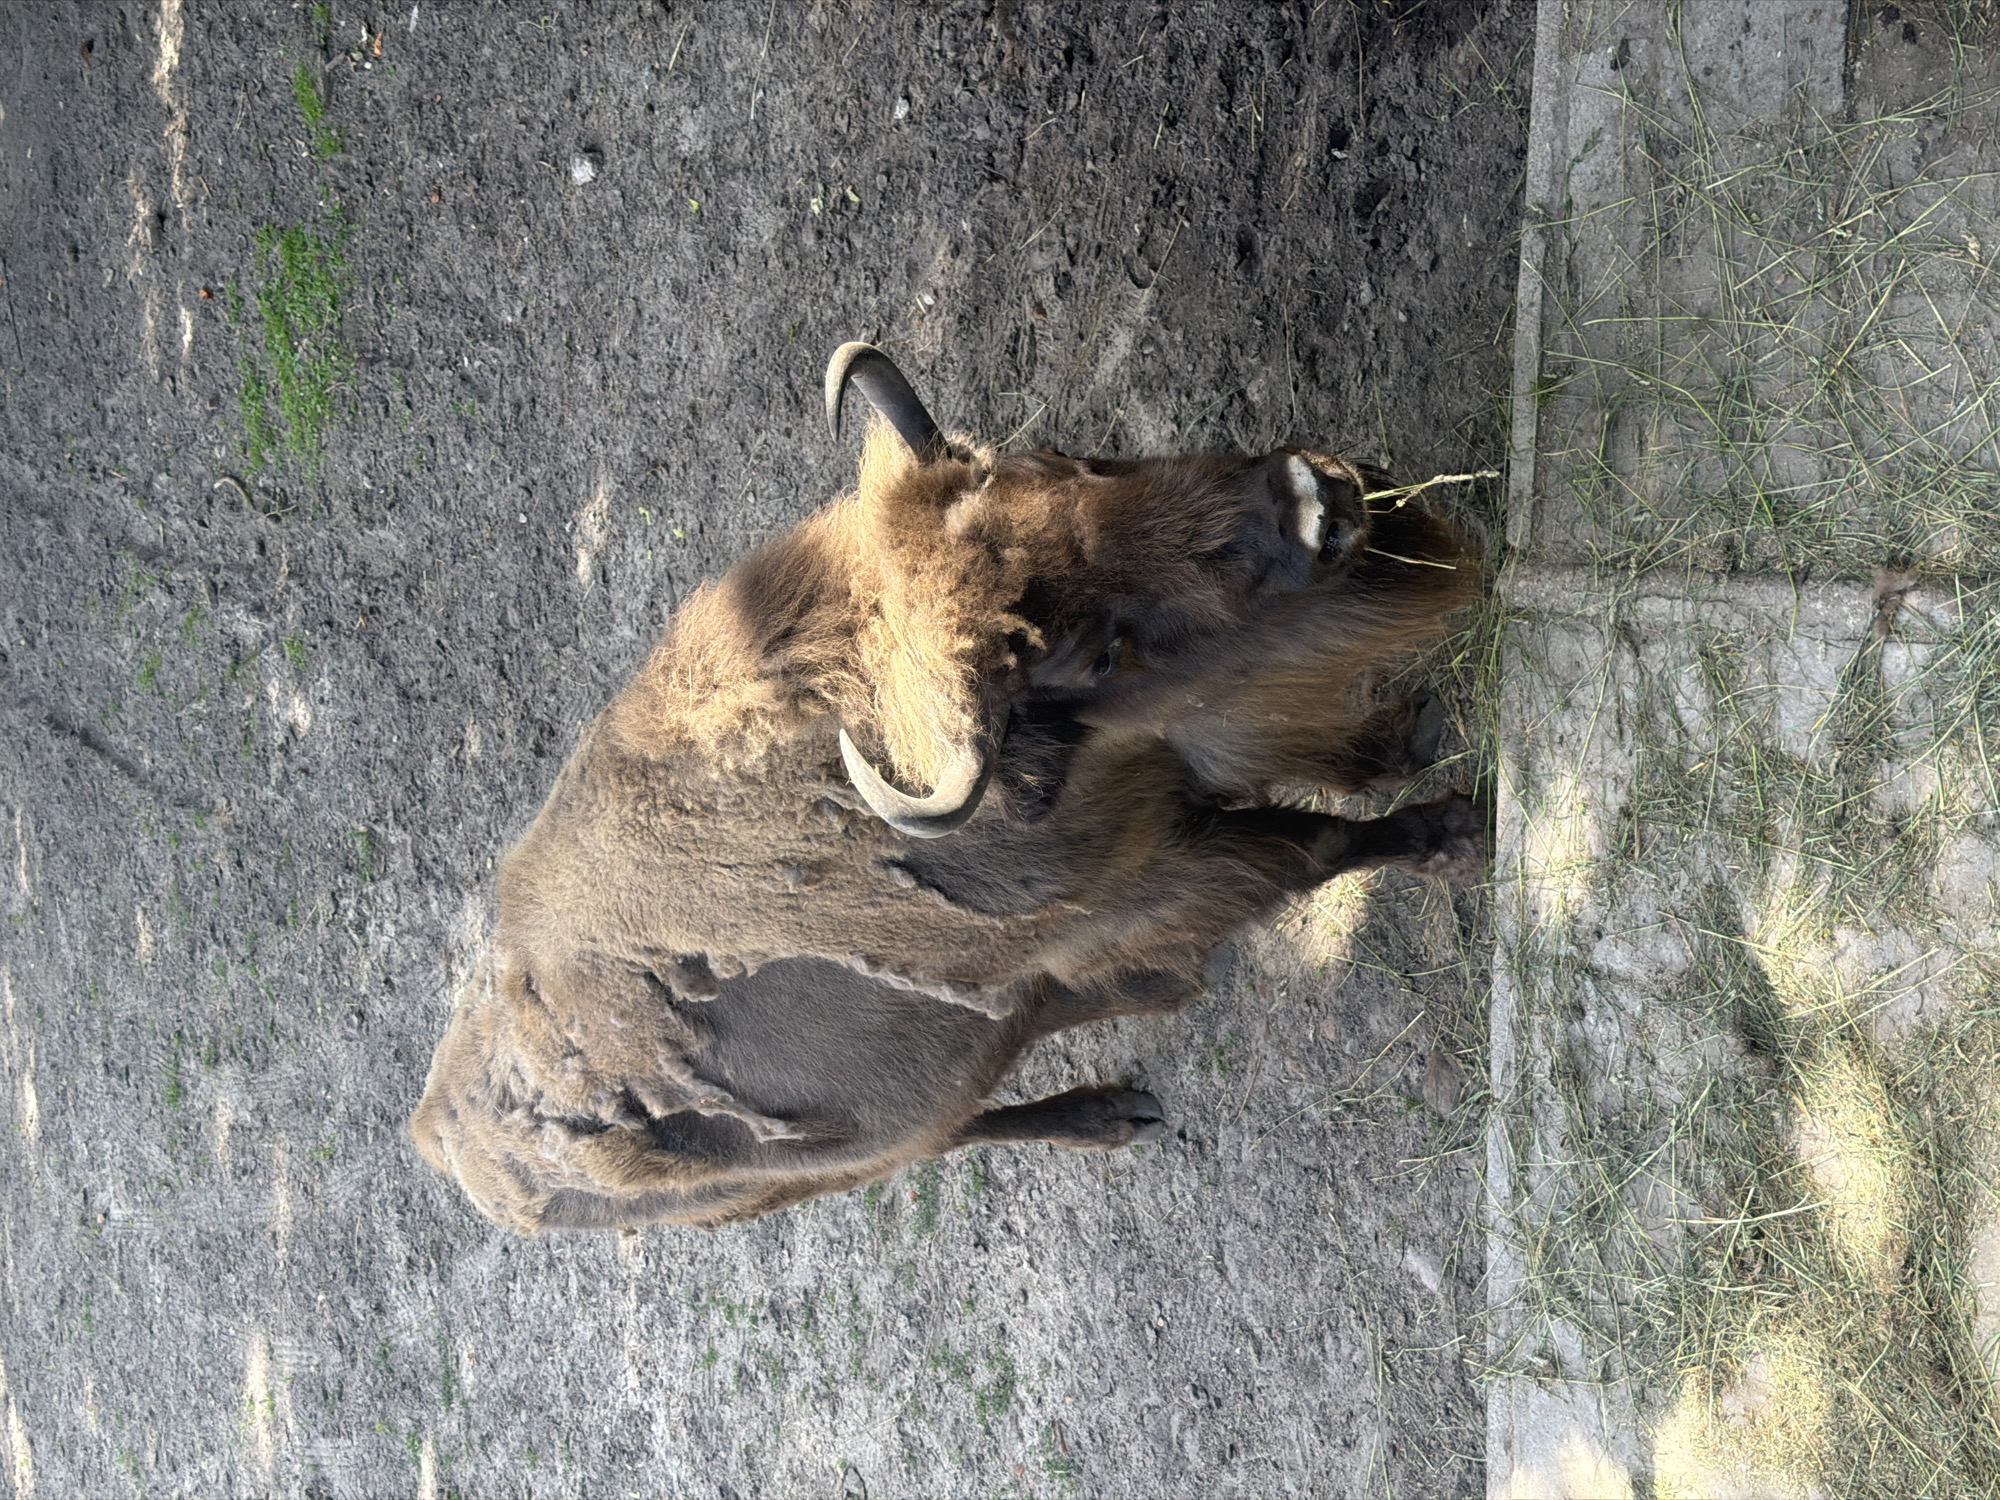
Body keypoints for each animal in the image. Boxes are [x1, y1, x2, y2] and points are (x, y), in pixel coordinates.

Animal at [411, 344, 1481, 1233]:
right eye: (1093, 653)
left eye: (1068, 459)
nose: (1317, 502)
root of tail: (445, 1141)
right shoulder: (1161, 876)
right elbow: (1314, 844)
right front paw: (1454, 832)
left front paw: (1409, 742)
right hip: (841, 1155)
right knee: (955, 1131)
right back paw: (1115, 1113)